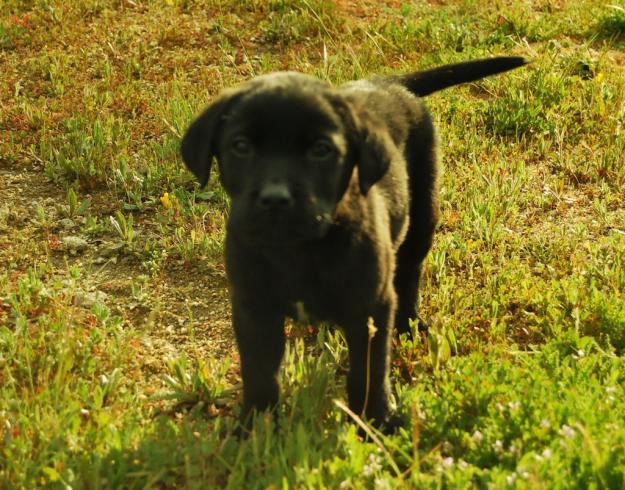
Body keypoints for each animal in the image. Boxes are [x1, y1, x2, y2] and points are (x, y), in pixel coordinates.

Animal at [182, 57, 528, 430]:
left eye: (321, 150)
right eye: (241, 146)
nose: (275, 199)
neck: (298, 250)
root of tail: (390, 83)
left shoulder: (370, 307)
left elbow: (369, 371)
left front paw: (377, 419)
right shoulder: (253, 307)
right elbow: (260, 374)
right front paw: (254, 427)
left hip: (423, 216)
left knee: (410, 272)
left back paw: (409, 324)